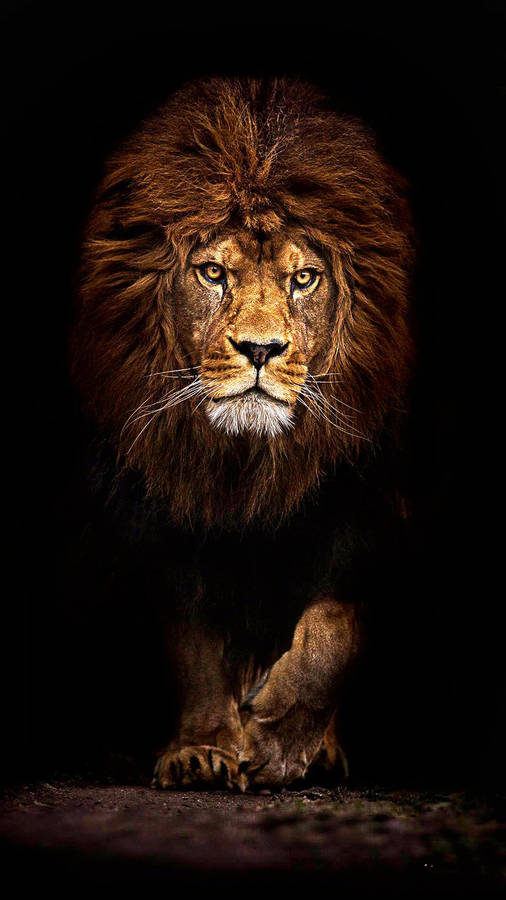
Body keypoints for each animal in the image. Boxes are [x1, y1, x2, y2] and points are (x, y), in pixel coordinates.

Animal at [71, 77, 414, 790]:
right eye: (213, 273)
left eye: (304, 278)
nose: (260, 349)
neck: (248, 463)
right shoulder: (168, 511)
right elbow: (194, 642)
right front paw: (203, 748)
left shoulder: (368, 503)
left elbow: (332, 628)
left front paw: (279, 742)